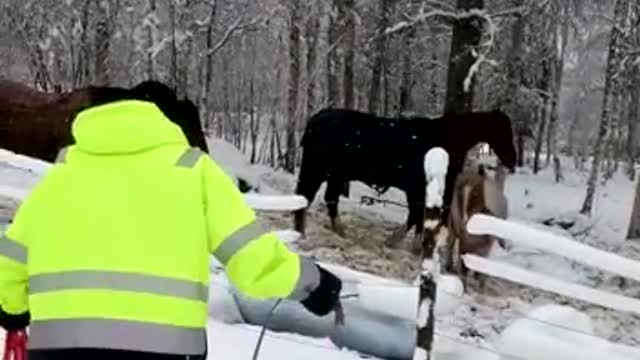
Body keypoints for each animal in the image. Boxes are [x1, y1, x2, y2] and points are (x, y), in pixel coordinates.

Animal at [292, 108, 516, 252]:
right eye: (503, 131)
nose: (513, 160)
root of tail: (315, 120)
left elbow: (416, 214)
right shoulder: (416, 187)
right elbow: (416, 214)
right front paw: (403, 242)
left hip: (335, 174)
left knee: (328, 199)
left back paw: (337, 230)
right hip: (317, 170)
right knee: (305, 196)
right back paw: (300, 231)